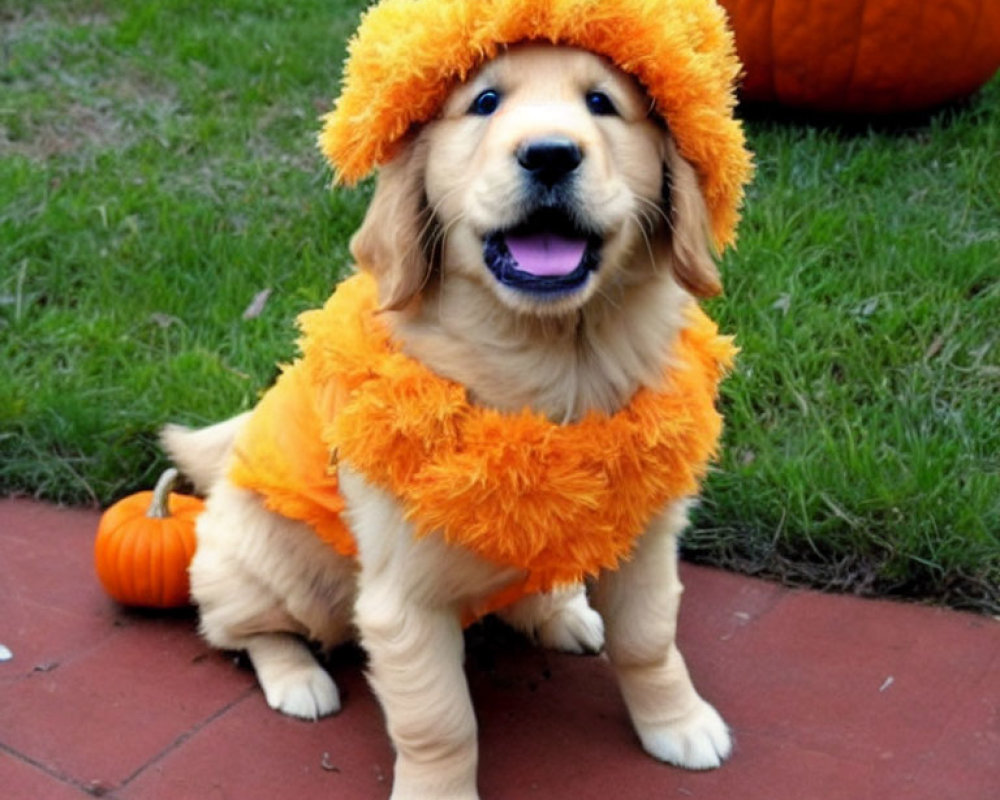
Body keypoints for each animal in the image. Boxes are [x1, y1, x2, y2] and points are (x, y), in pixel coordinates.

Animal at [166, 42, 736, 800]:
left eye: (602, 104)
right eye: (485, 103)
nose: (549, 155)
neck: (557, 360)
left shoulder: (645, 541)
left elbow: (649, 641)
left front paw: (677, 722)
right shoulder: (403, 599)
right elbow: (439, 719)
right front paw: (437, 790)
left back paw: (563, 611)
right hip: (274, 570)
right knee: (241, 630)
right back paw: (297, 678)